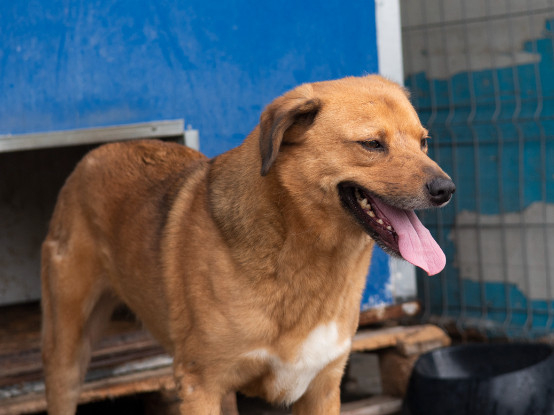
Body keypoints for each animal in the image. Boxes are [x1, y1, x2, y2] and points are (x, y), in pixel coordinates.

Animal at [41, 75, 454, 414]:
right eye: (371, 144)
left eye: (424, 142)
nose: (446, 189)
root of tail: (98, 152)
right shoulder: (200, 385)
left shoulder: (321, 387)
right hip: (66, 358)